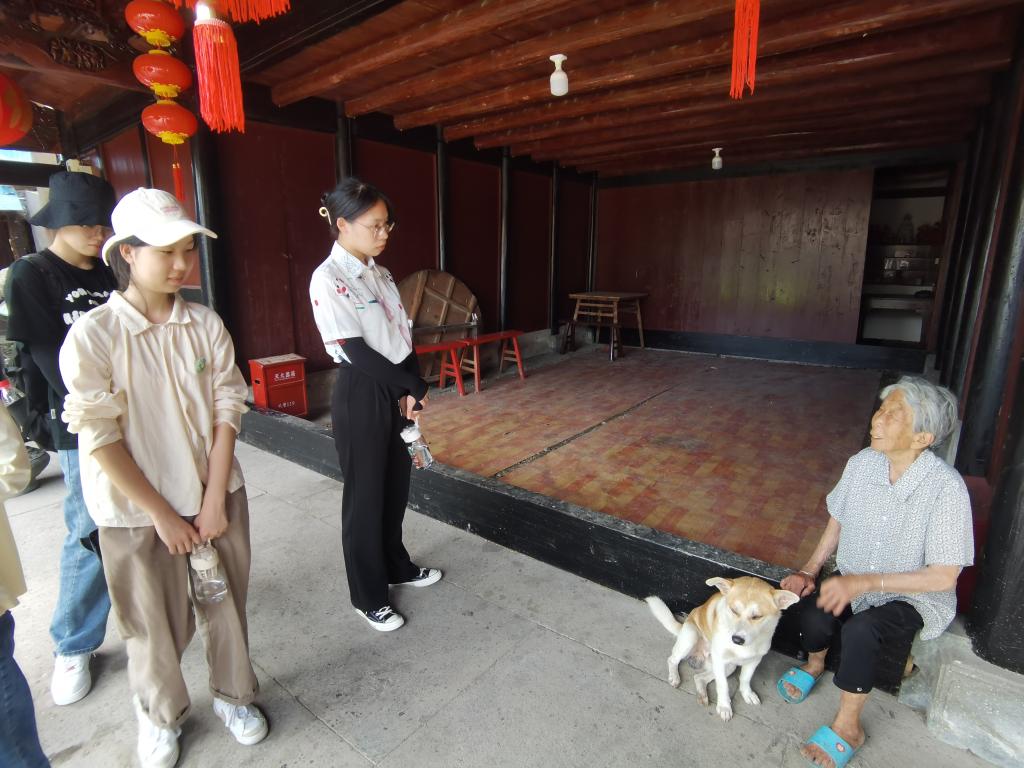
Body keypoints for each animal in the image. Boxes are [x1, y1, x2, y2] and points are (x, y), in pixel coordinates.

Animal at [646, 576, 799, 721]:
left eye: (756, 617)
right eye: (734, 611)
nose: (736, 640)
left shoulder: (754, 660)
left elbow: (745, 679)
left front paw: (747, 694)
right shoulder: (720, 660)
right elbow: (723, 686)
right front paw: (724, 706)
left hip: (728, 667)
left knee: (699, 677)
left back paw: (702, 695)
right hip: (691, 637)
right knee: (672, 659)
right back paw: (674, 677)